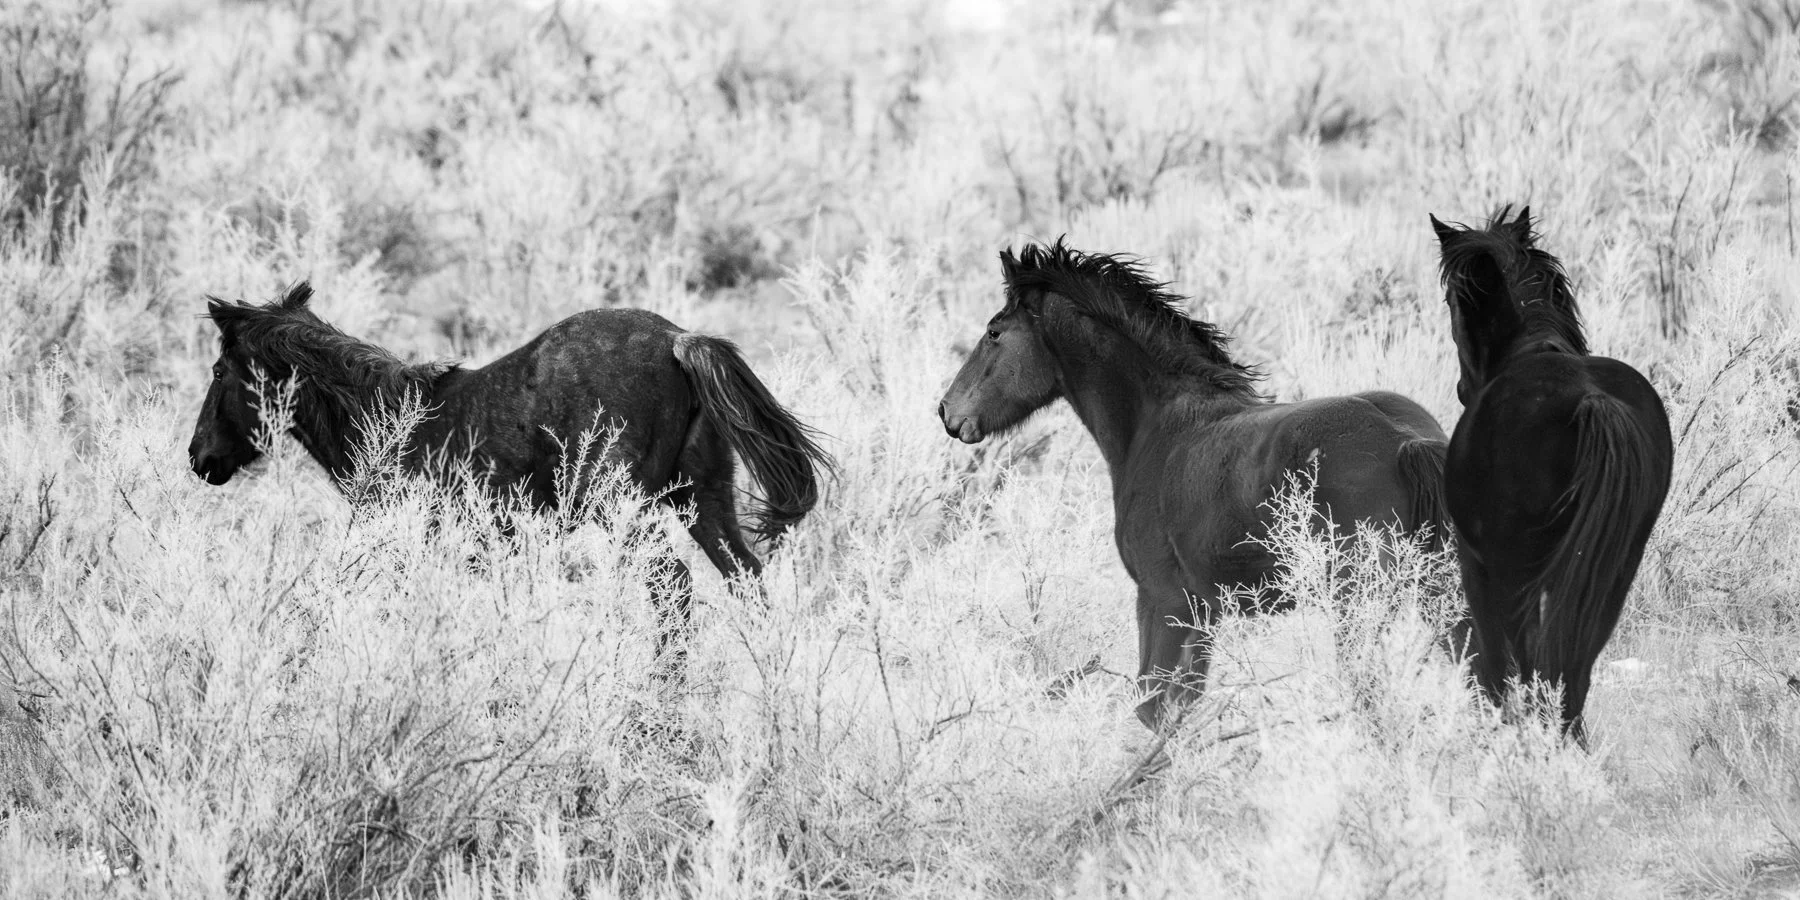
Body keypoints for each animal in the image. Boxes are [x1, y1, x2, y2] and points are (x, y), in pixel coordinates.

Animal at [187, 282, 832, 662]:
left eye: (219, 371)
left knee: (671, 585)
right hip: (703, 501)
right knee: (746, 578)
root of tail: (679, 340)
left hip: (622, 507)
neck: (388, 419)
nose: (199, 458)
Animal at [937, 238, 1453, 732]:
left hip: (1359, 604)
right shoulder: (1203, 614)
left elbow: (1154, 708)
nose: (947, 411)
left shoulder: (1164, 602)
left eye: (994, 332)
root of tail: (1405, 440)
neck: (1155, 425)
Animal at [1430, 207, 1673, 743]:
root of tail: (1590, 400)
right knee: (1571, 670)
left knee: (1532, 663)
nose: (1461, 387)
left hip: (1515, 570)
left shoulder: (1477, 564)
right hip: (1611, 570)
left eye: (1452, 300)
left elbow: (1496, 663)